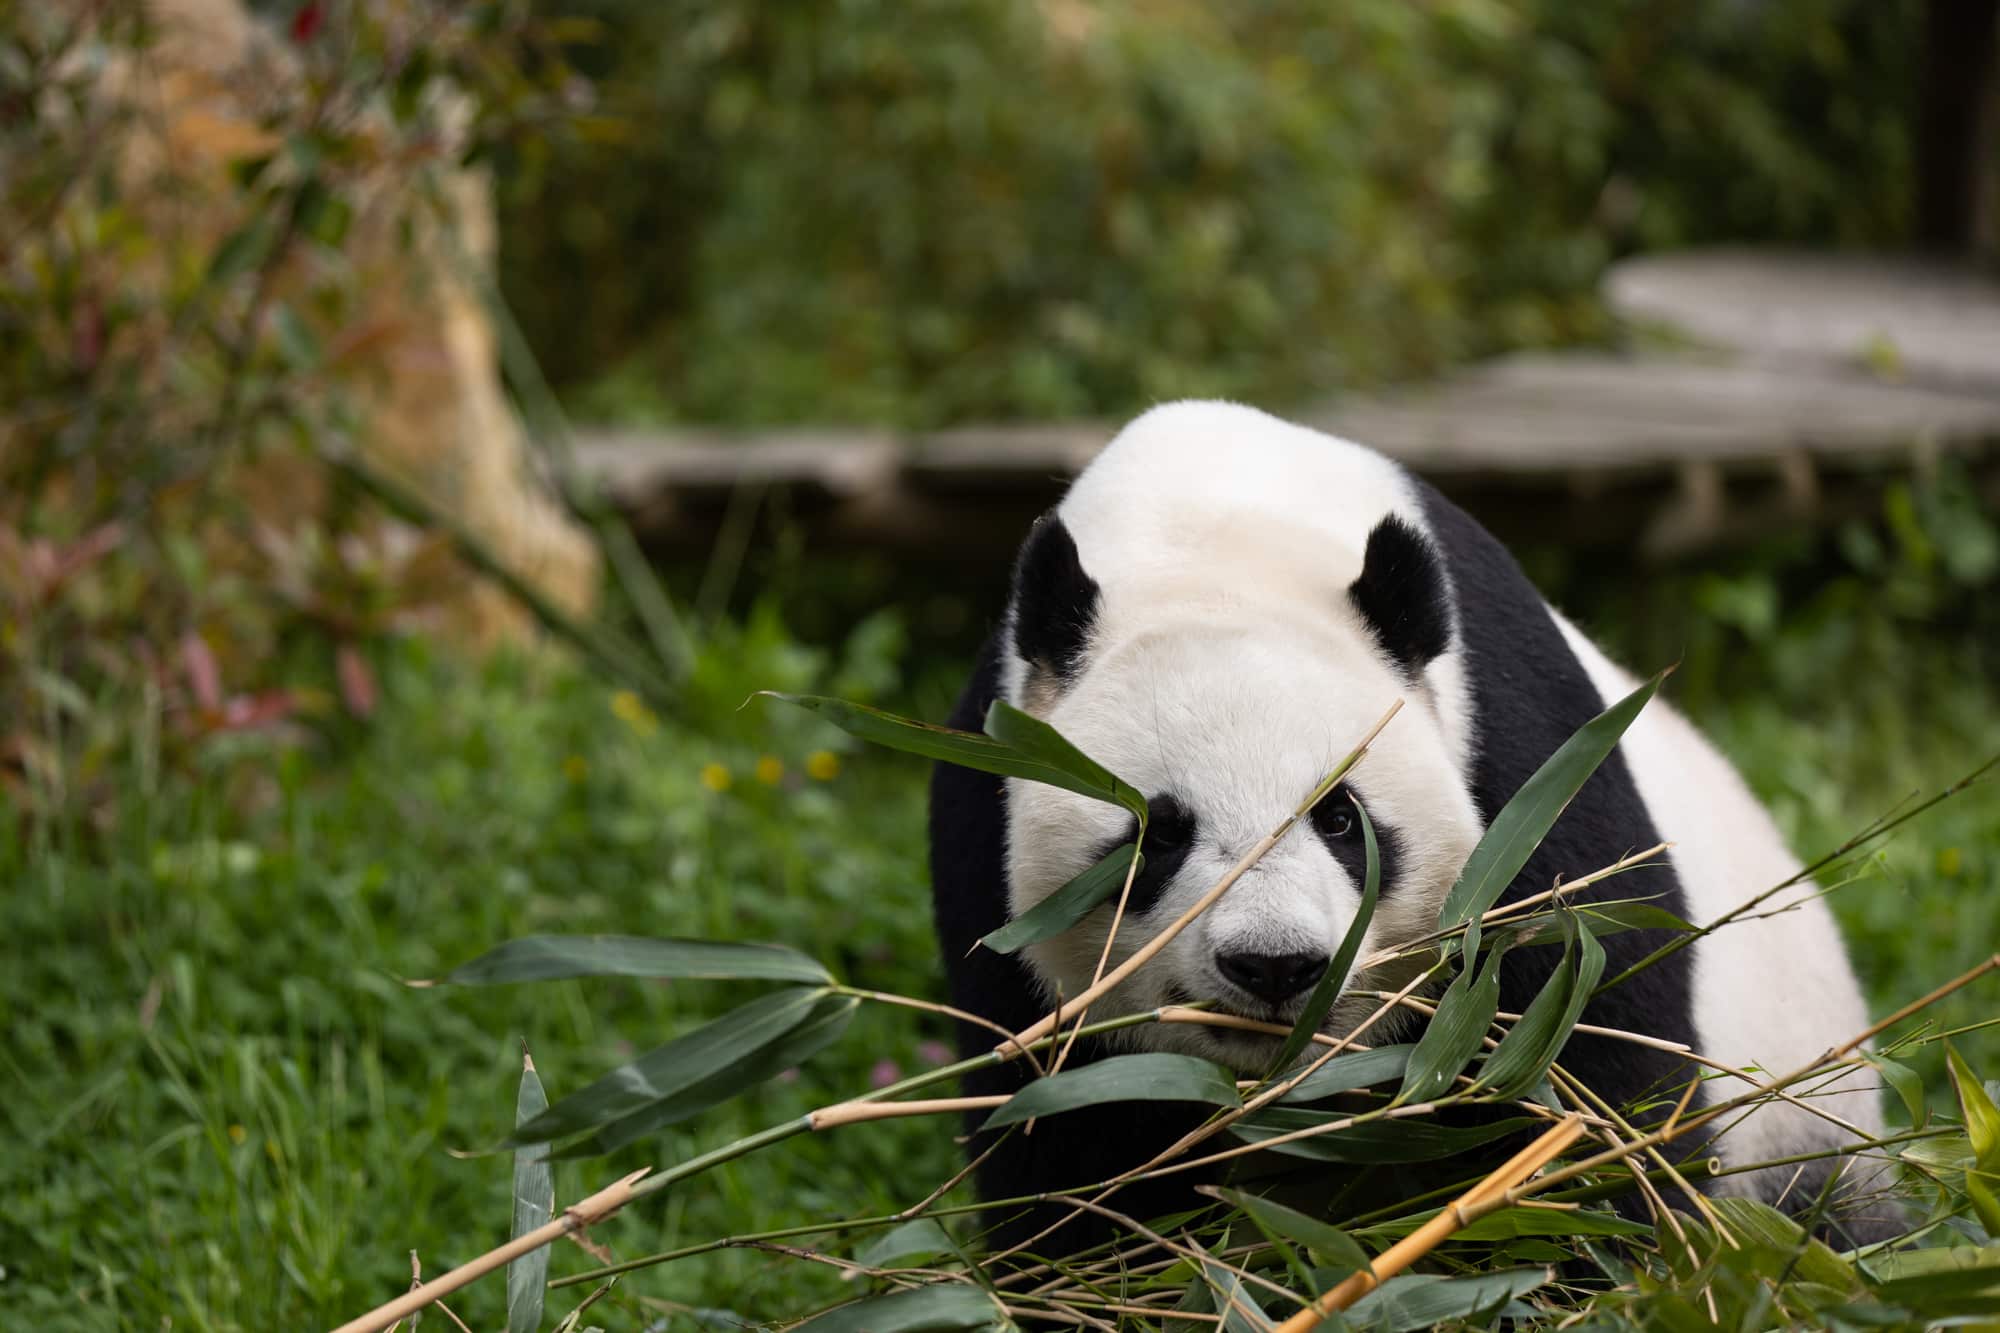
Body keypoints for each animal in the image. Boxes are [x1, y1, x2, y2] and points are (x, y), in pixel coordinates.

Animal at [928, 400, 1880, 1248]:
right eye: (1161, 832)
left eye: (1341, 818)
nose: (1273, 966)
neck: (1216, 540)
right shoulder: (987, 809)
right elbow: (1062, 1135)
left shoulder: (1521, 754)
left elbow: (1593, 1039)